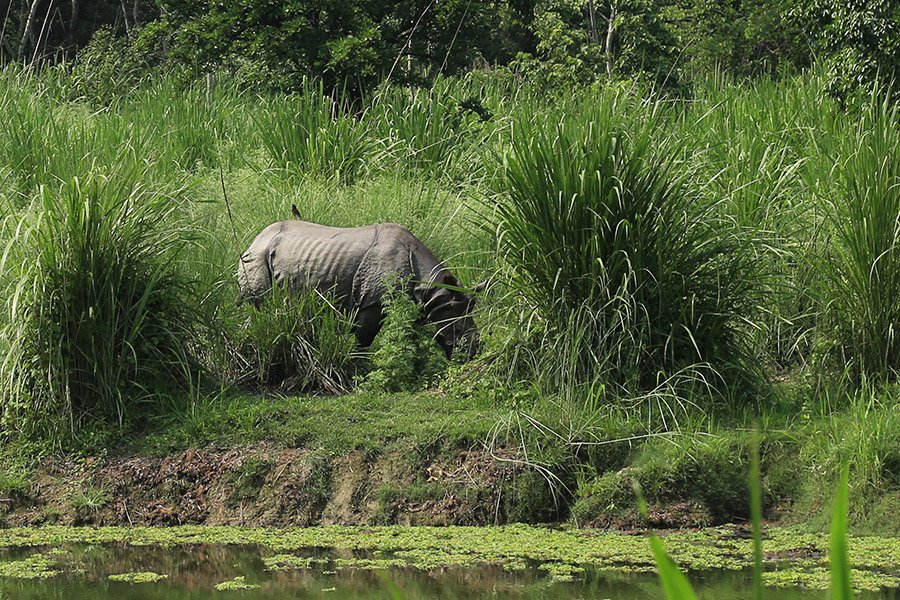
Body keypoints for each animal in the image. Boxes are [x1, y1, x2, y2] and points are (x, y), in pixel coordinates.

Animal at [237, 219, 481, 357]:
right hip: (256, 257)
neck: (431, 287)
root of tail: (255, 238)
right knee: (259, 303)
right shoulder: (374, 301)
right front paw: (359, 367)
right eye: (457, 329)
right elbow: (363, 338)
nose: (473, 352)